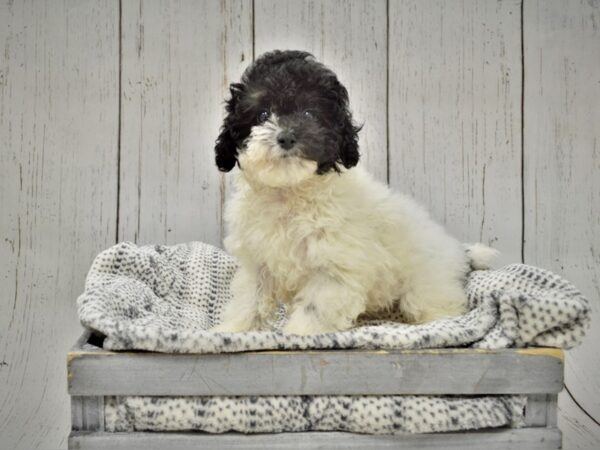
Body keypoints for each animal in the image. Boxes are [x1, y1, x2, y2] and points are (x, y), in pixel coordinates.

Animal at [213, 51, 494, 336]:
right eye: (262, 114)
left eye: (309, 113)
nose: (287, 137)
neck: (290, 191)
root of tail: (457, 250)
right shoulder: (256, 263)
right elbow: (250, 300)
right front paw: (234, 329)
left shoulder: (333, 269)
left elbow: (314, 308)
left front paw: (300, 334)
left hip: (426, 289)